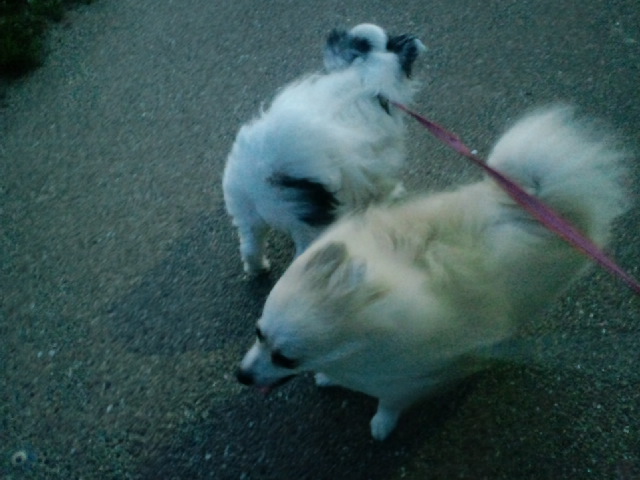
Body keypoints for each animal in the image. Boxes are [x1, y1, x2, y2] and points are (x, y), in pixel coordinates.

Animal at [222, 23, 426, 274]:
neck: (365, 73)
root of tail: (263, 178)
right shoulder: (378, 160)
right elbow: (381, 183)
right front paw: (394, 194)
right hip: (309, 227)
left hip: (245, 213)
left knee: (250, 247)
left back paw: (259, 269)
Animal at [236, 106, 630, 440]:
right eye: (258, 333)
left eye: (285, 357)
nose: (241, 376)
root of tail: (536, 206)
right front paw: (329, 379)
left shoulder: (409, 377)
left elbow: (390, 401)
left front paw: (382, 424)